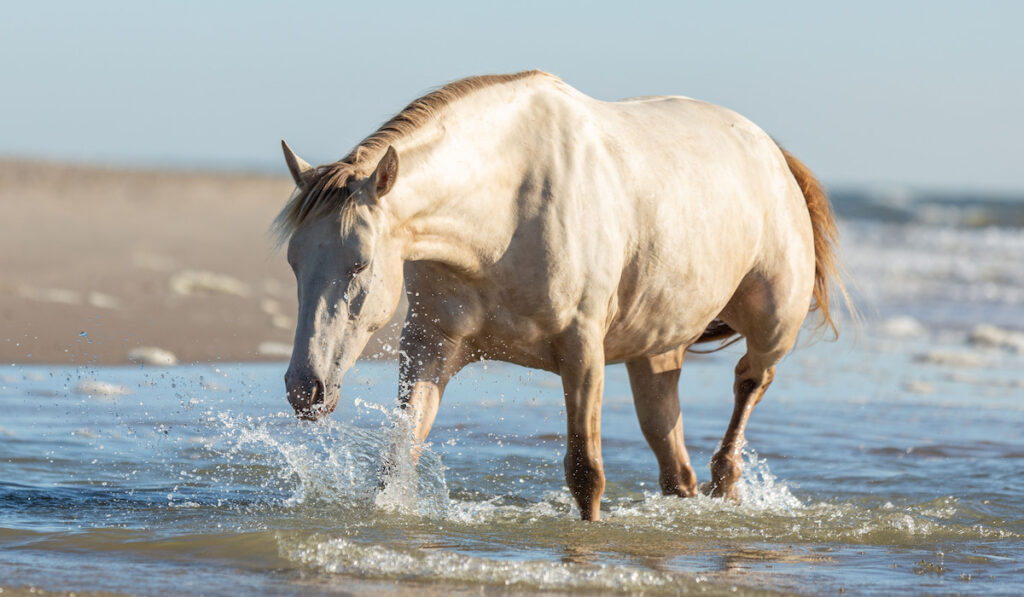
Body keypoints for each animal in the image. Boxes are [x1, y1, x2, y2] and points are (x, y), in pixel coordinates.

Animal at [274, 70, 847, 520]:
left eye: (360, 263)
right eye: (294, 263)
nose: (306, 391)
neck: (505, 210)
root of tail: (772, 154)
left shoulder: (583, 351)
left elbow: (585, 473)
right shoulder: (430, 347)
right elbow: (398, 459)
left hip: (772, 328)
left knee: (748, 385)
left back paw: (726, 482)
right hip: (656, 353)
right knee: (674, 467)